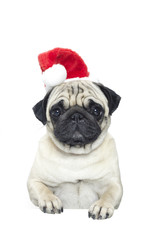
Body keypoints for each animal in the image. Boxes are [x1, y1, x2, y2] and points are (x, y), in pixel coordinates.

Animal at [27, 80, 122, 219]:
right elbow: (42, 189)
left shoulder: (113, 184)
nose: (76, 116)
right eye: (56, 111)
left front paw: (101, 206)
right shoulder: (34, 181)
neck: (76, 153)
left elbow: (109, 194)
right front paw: (50, 200)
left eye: (96, 110)